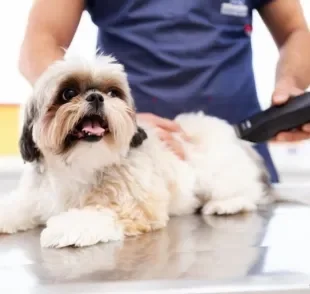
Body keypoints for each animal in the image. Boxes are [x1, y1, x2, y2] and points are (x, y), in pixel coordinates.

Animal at [0, 54, 276, 247]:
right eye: (68, 93)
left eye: (113, 92)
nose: (97, 97)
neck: (79, 166)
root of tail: (236, 136)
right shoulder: (33, 198)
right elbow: (16, 206)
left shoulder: (134, 207)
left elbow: (98, 213)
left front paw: (66, 227)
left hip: (217, 175)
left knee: (248, 193)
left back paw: (226, 205)